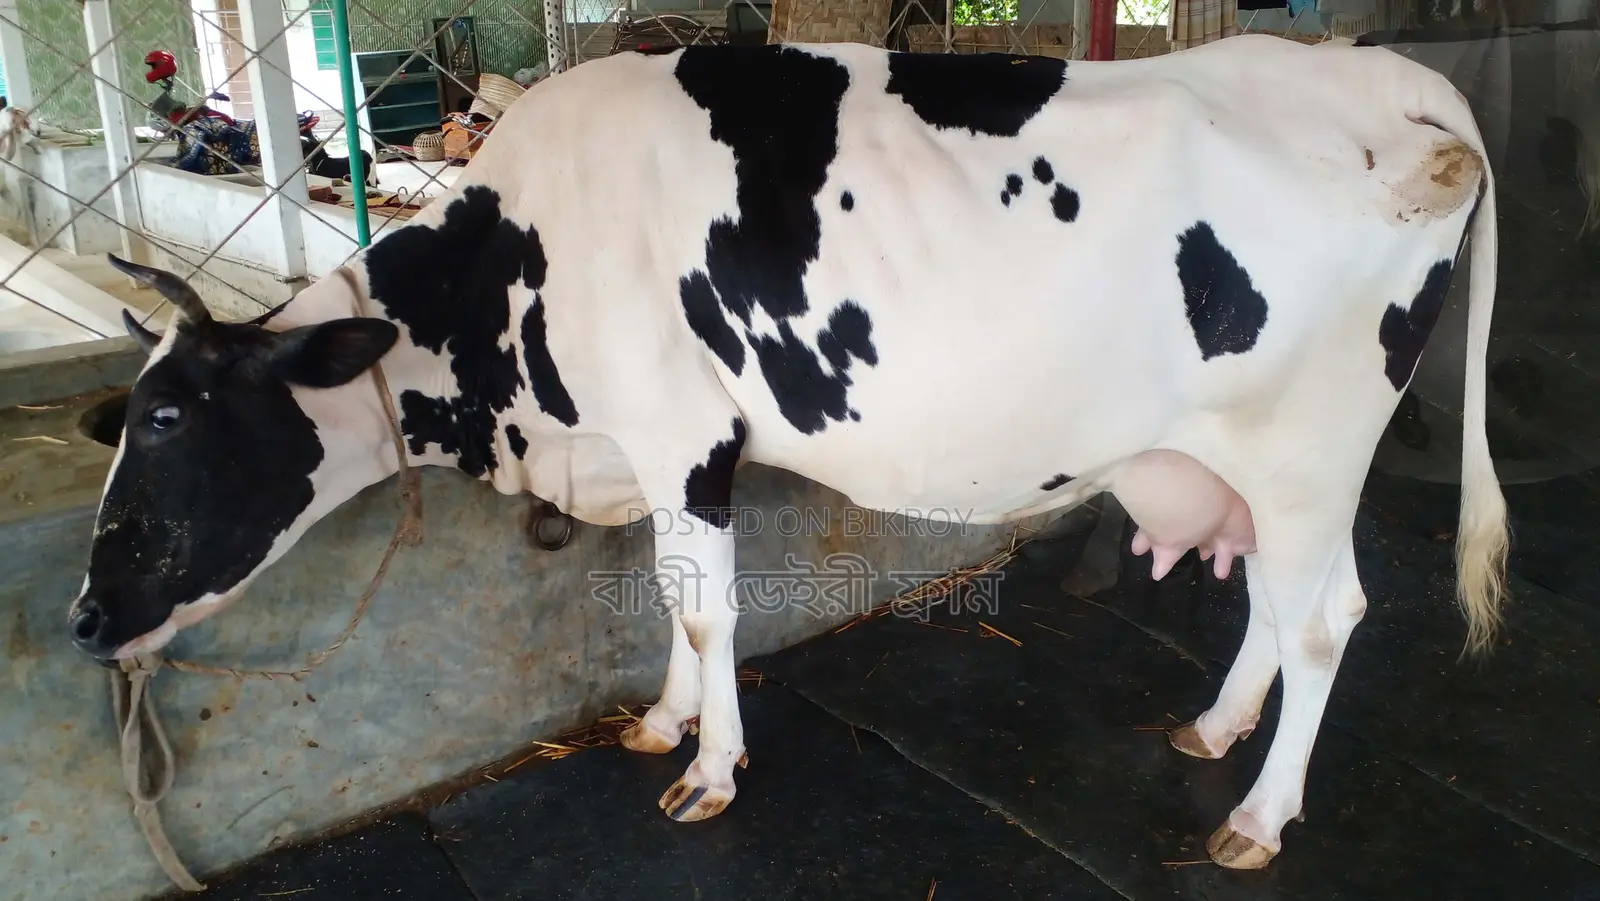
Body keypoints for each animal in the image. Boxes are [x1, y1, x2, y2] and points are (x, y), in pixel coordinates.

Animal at [65, 34, 1508, 870]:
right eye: (125, 419)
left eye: (172, 419)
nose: (82, 617)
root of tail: (1396, 78)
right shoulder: (650, 451)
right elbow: (665, 595)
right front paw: (663, 723)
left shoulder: (682, 434)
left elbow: (707, 609)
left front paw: (709, 770)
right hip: (1250, 461)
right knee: (1270, 597)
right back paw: (1214, 730)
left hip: (1309, 442)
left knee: (1325, 614)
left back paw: (1259, 818)